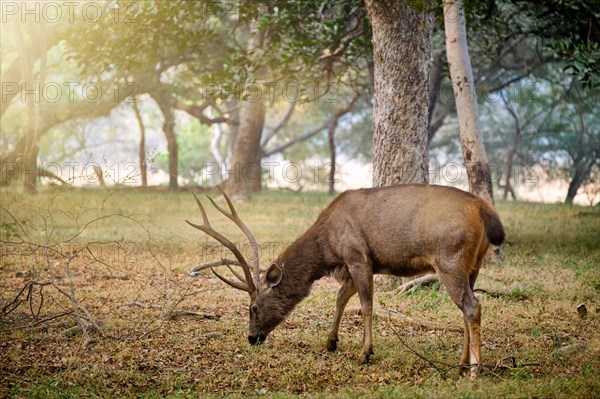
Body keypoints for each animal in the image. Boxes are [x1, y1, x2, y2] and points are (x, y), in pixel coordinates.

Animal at [186, 185, 502, 378]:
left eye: (253, 307)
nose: (251, 338)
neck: (327, 248)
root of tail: (486, 212)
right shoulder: (353, 265)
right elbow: (340, 298)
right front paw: (331, 342)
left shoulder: (357, 255)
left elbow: (366, 305)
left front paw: (365, 352)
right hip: (472, 265)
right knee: (465, 310)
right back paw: (461, 364)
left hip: (450, 259)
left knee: (472, 306)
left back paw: (475, 370)